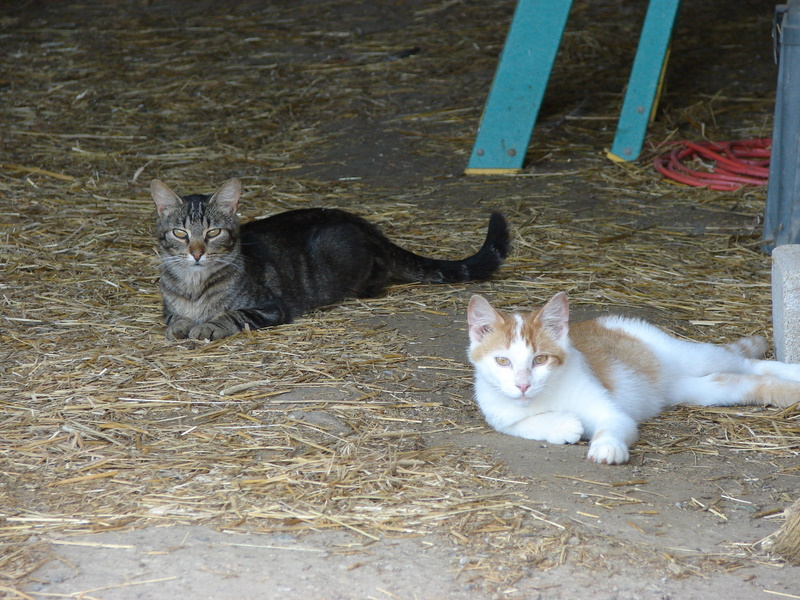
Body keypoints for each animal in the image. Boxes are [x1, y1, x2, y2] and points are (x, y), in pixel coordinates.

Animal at [152, 177, 510, 341]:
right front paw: (182, 324)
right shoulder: (169, 308)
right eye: (180, 233)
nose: (196, 253)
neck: (194, 285)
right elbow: (173, 318)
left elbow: (231, 315)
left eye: (213, 233)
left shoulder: (269, 308)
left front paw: (206, 326)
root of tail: (363, 223)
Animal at [467, 291, 800, 465]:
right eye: (502, 361)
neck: (544, 395)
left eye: (540, 360)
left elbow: (611, 425)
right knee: (744, 382)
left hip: (689, 355)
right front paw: (563, 425)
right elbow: (524, 425)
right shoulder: (500, 416)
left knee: (748, 362)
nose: (523, 385)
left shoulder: (611, 412)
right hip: (696, 389)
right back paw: (788, 392)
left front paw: (606, 447)